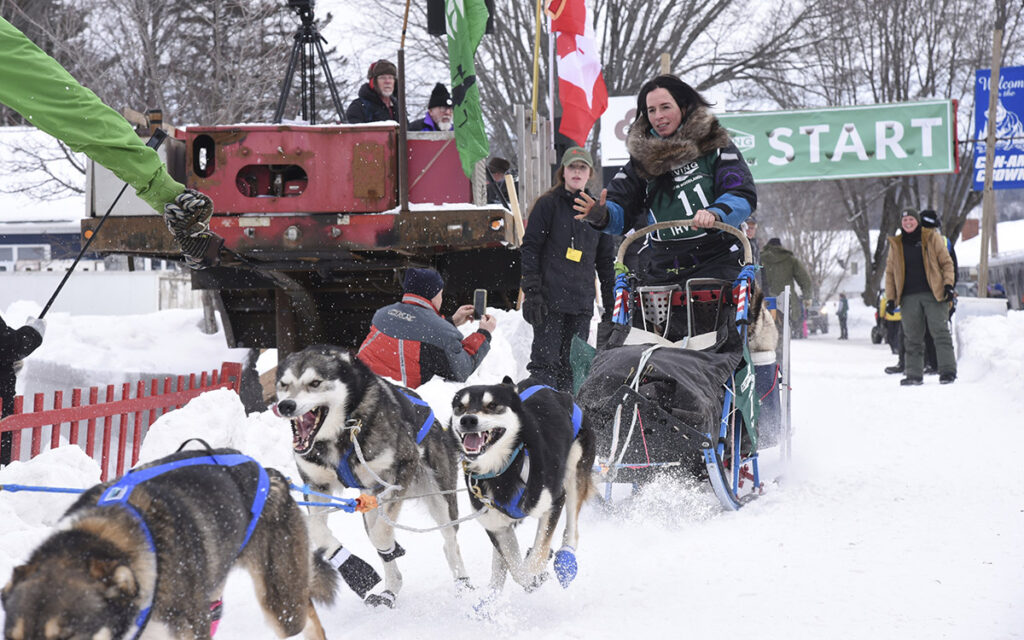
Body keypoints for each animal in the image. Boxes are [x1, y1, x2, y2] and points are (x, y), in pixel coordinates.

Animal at [272, 342, 464, 606]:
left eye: (315, 383)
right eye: (284, 384)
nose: (286, 405)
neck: (342, 433)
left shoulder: (400, 471)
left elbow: (381, 536)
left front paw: (386, 548)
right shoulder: (315, 486)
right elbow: (317, 530)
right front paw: (352, 567)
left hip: (440, 499)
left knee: (450, 541)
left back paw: (463, 583)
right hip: (369, 500)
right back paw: (389, 591)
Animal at [450, 376, 598, 589]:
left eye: (492, 405)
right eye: (460, 407)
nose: (468, 420)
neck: (505, 467)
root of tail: (551, 389)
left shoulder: (554, 502)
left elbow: (537, 554)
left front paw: (536, 571)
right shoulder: (497, 527)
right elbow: (516, 570)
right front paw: (531, 578)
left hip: (574, 471)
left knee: (572, 530)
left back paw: (565, 560)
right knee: (501, 563)